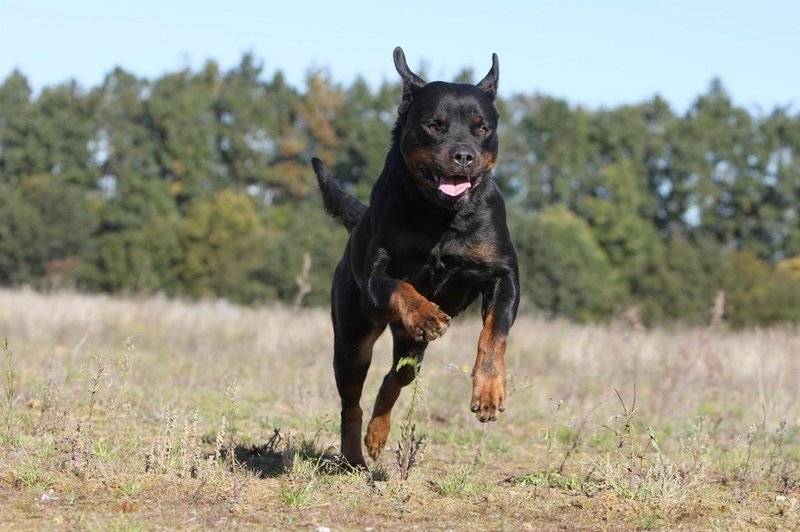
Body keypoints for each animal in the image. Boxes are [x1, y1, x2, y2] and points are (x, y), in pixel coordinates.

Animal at [312, 46, 520, 470]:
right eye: (434, 125)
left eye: (482, 129)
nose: (463, 156)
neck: (441, 216)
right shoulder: (375, 279)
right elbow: (398, 287)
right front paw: (425, 312)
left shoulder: (503, 273)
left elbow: (495, 333)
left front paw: (489, 391)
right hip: (352, 338)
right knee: (351, 401)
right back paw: (354, 456)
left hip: (410, 348)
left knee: (395, 379)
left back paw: (377, 434)